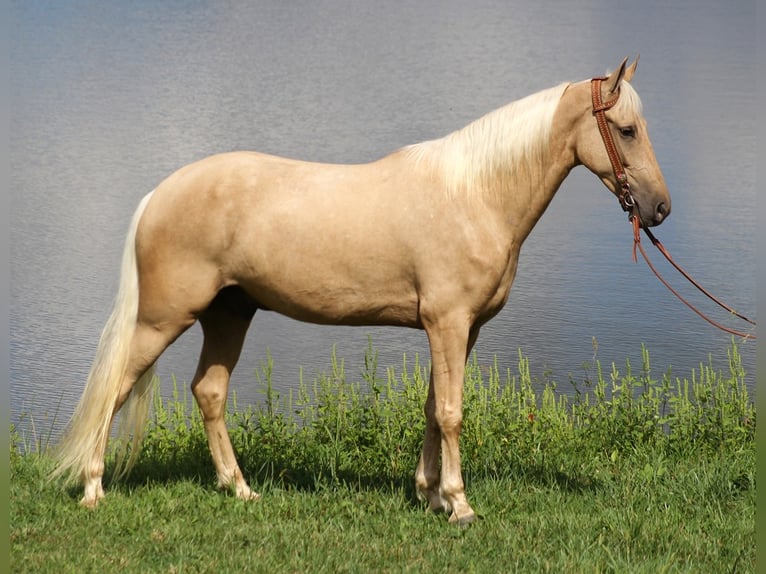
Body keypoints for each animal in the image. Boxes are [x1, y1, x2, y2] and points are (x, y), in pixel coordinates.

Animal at [52, 58, 672, 528]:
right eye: (626, 130)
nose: (660, 207)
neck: (474, 194)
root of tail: (158, 194)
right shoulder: (448, 323)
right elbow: (452, 412)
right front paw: (460, 505)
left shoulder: (461, 330)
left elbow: (432, 406)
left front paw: (429, 495)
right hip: (163, 320)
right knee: (113, 388)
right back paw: (93, 489)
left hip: (229, 314)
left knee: (209, 391)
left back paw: (239, 488)